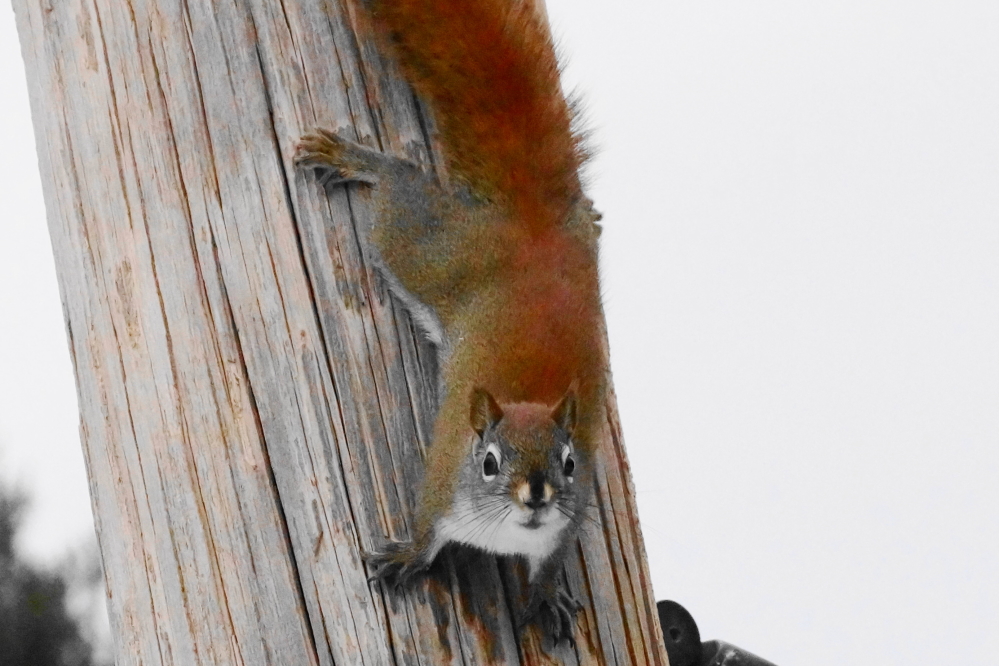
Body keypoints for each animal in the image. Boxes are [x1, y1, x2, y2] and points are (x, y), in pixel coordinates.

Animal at [295, 0, 605, 644]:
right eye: (488, 462)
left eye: (568, 462)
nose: (536, 496)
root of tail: (532, 231)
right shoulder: (441, 490)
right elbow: (424, 530)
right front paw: (406, 558)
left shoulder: (568, 521)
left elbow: (551, 562)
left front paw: (547, 597)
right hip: (426, 251)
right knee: (400, 186)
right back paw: (357, 160)